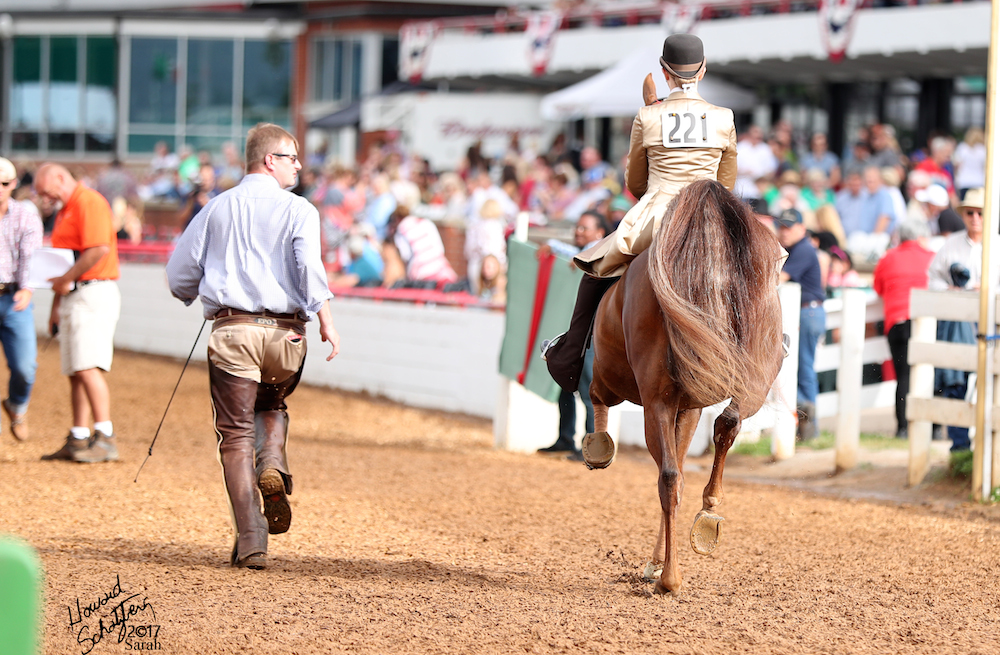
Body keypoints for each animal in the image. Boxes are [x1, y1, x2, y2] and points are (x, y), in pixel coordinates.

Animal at [584, 178, 784, 596]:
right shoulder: (690, 406)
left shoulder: (625, 386)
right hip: (747, 375)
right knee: (726, 425)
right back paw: (708, 515)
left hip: (645, 395)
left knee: (667, 476)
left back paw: (669, 577)